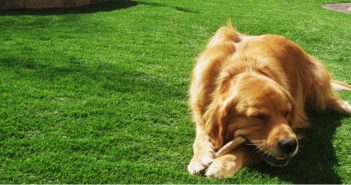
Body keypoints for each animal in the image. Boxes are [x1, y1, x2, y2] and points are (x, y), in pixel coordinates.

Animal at [188, 22, 351, 178]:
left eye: (287, 113)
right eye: (257, 117)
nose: (290, 145)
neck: (240, 67)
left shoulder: (294, 128)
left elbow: (248, 148)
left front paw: (224, 163)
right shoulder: (200, 107)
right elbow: (201, 134)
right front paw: (199, 158)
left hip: (315, 82)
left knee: (330, 99)